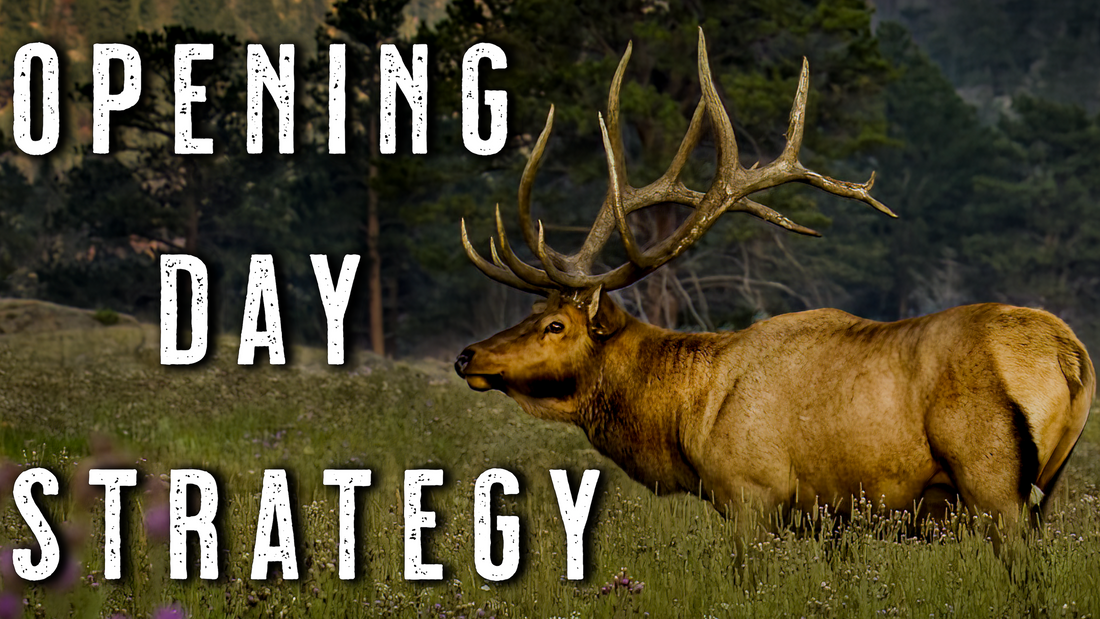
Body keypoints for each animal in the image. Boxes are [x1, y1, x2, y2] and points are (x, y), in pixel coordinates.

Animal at [453, 29, 1095, 537]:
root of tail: (1070, 357)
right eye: (533, 312)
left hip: (993, 480)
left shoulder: (751, 494)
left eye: (555, 324)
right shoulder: (834, 521)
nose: (467, 355)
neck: (687, 418)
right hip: (1046, 489)